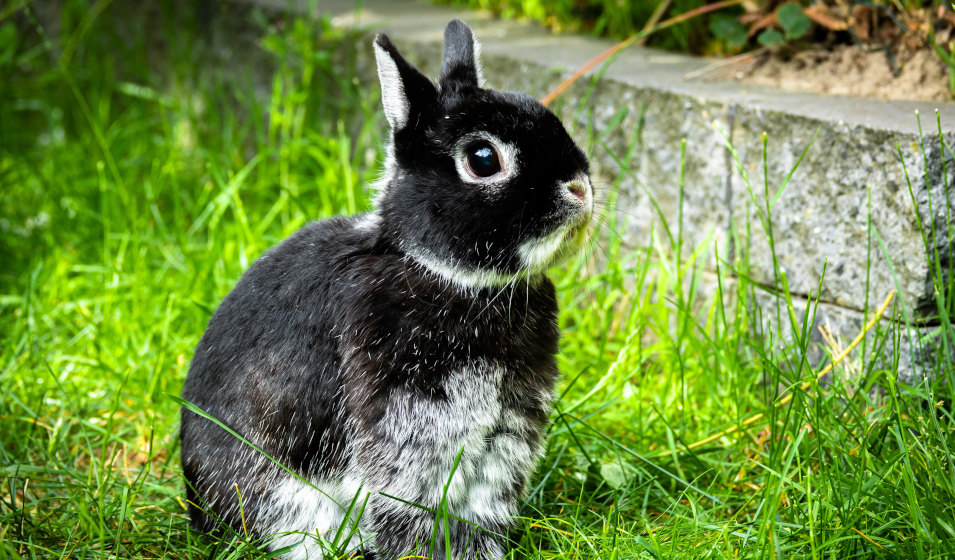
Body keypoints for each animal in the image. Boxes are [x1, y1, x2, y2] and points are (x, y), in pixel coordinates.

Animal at [180, 19, 593, 560]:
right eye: (483, 159)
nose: (582, 188)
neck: (445, 275)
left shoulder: (502, 437)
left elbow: (481, 509)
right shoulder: (411, 426)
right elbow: (409, 510)